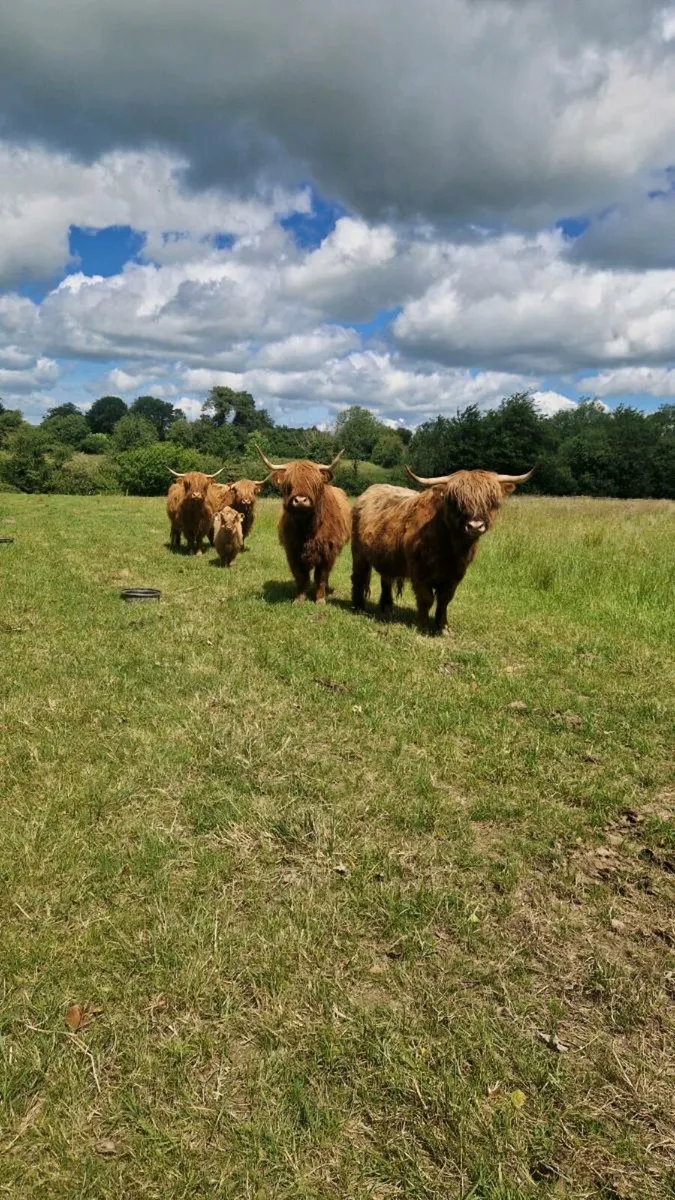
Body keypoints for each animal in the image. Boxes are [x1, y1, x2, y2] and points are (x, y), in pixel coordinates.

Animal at [255, 446, 351, 603]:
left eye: (314, 483)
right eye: (289, 484)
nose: (300, 500)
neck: (307, 526)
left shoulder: (327, 550)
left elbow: (321, 577)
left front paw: (320, 600)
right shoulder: (292, 550)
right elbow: (301, 576)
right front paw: (299, 600)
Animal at [351, 465, 535, 634]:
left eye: (490, 501)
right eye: (456, 502)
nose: (475, 526)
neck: (451, 548)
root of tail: (368, 492)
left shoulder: (456, 574)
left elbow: (445, 599)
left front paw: (444, 627)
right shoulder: (419, 571)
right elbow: (426, 598)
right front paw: (424, 627)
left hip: (387, 557)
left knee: (386, 579)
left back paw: (387, 608)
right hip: (359, 553)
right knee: (358, 577)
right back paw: (358, 607)